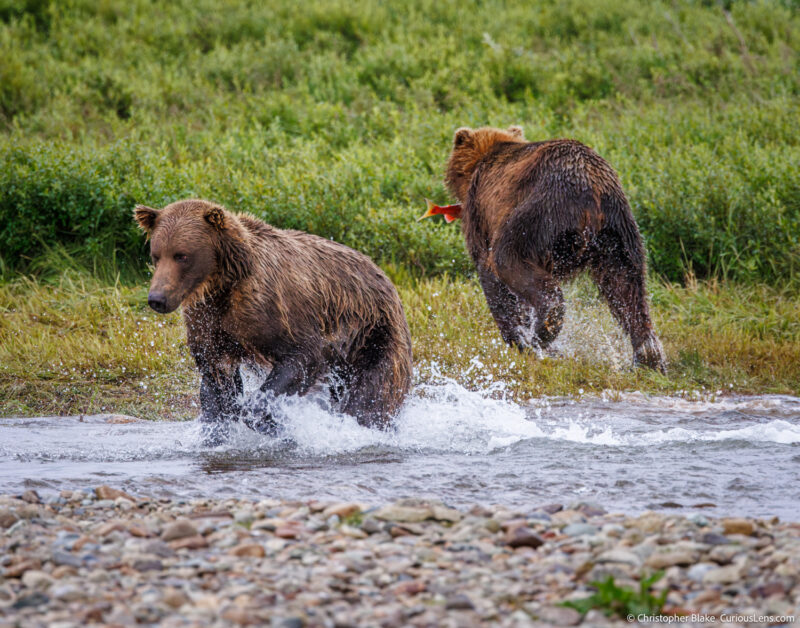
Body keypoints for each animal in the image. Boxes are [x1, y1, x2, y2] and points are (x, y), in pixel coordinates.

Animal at [134, 200, 412, 436]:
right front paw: (219, 424)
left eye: (181, 255)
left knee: (372, 394)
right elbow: (217, 380)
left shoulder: (274, 310)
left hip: (374, 334)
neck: (221, 286)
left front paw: (266, 419)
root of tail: (384, 276)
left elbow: (301, 357)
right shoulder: (208, 322)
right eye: (156, 254)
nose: (157, 298)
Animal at [428, 126, 664, 372]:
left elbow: (492, 278)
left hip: (539, 212)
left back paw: (543, 331)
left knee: (508, 259)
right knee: (626, 285)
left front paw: (518, 339)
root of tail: (590, 191)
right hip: (618, 229)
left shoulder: (480, 216)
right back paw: (648, 357)